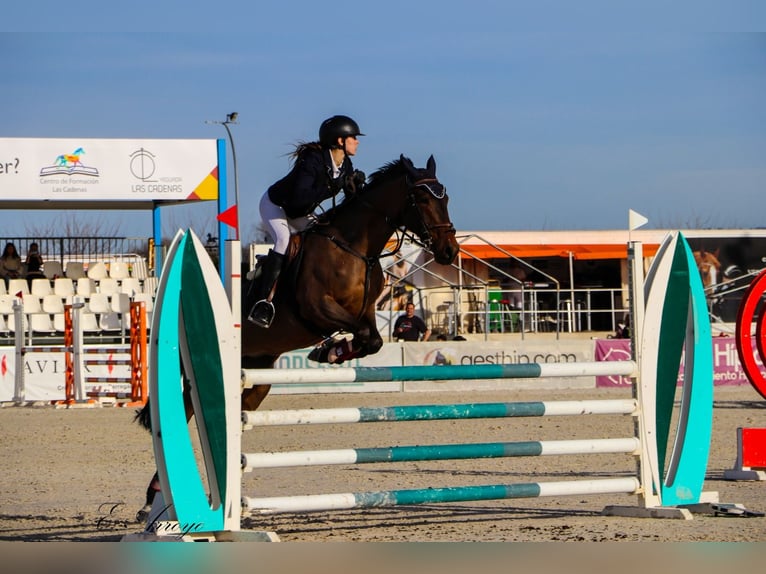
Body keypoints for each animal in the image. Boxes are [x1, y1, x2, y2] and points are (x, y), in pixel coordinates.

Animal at [134, 154, 460, 520]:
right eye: (421, 199)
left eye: (445, 198)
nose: (449, 252)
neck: (354, 248)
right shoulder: (316, 309)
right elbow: (362, 335)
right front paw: (329, 351)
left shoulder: (365, 313)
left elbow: (371, 340)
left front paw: (331, 352)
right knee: (189, 405)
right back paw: (153, 499)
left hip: (258, 367)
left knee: (238, 404)